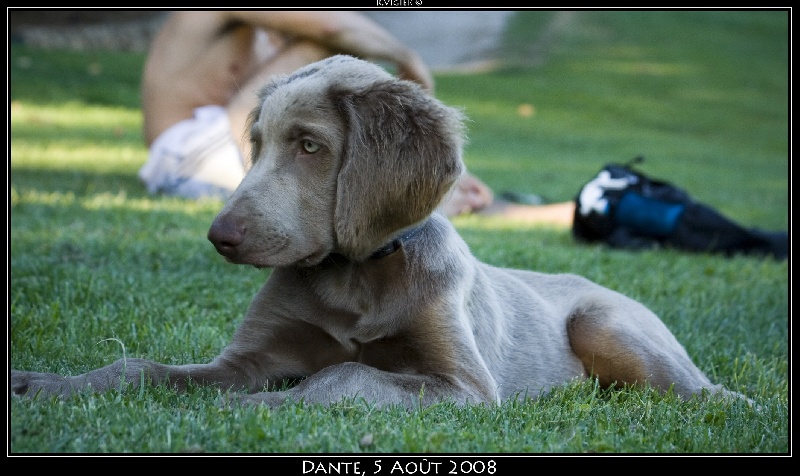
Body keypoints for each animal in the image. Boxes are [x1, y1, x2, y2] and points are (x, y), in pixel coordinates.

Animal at [7, 54, 752, 406]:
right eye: (258, 143)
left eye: (309, 146)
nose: (220, 235)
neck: (355, 276)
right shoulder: (243, 361)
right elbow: (141, 367)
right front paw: (46, 384)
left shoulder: (464, 387)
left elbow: (344, 375)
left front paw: (263, 410)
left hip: (609, 325)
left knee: (706, 391)